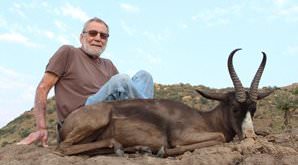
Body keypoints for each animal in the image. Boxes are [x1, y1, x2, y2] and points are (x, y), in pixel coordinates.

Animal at [57, 48, 274, 156]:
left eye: (254, 108)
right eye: (235, 108)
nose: (250, 136)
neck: (205, 119)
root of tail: (65, 121)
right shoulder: (182, 136)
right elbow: (219, 137)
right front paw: (166, 150)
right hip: (98, 121)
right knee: (63, 148)